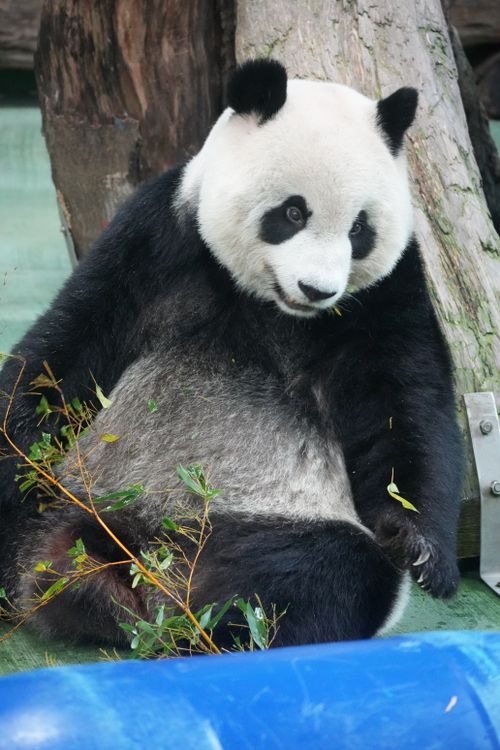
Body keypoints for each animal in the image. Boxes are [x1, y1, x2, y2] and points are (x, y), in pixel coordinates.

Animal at [0, 59, 464, 648]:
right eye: (293, 212)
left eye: (360, 228)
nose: (318, 290)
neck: (271, 305)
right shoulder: (159, 234)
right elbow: (69, 350)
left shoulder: (384, 292)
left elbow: (404, 400)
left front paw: (421, 548)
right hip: (69, 493)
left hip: (258, 520)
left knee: (325, 573)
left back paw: (160, 611)